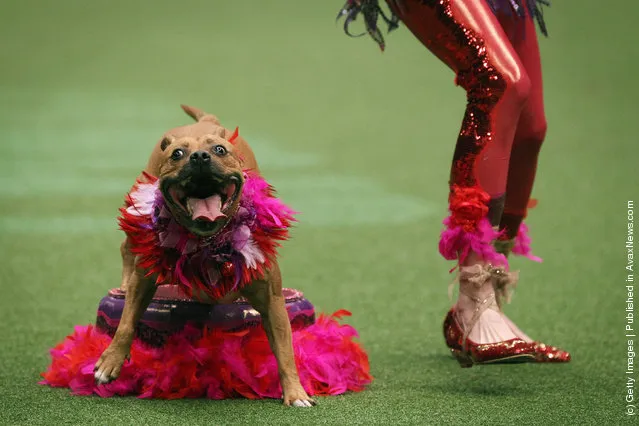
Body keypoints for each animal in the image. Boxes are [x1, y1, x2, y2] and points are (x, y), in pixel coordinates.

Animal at [92, 105, 318, 408]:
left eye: (220, 150)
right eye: (177, 154)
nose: (200, 156)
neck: (209, 240)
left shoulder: (272, 301)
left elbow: (285, 352)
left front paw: (295, 393)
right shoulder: (144, 279)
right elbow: (127, 322)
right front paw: (111, 360)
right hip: (136, 210)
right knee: (127, 247)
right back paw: (123, 284)